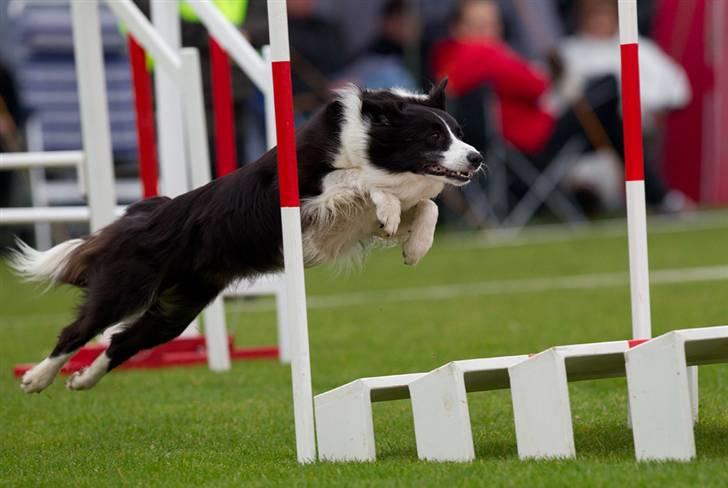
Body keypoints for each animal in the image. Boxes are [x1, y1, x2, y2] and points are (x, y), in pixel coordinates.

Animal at [11, 79, 484, 392]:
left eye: (458, 133)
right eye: (433, 135)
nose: (477, 158)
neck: (369, 143)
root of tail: (146, 213)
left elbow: (427, 206)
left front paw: (415, 245)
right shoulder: (301, 191)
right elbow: (358, 180)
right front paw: (388, 209)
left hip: (180, 308)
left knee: (124, 339)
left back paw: (83, 380)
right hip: (126, 286)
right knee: (76, 331)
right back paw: (36, 378)